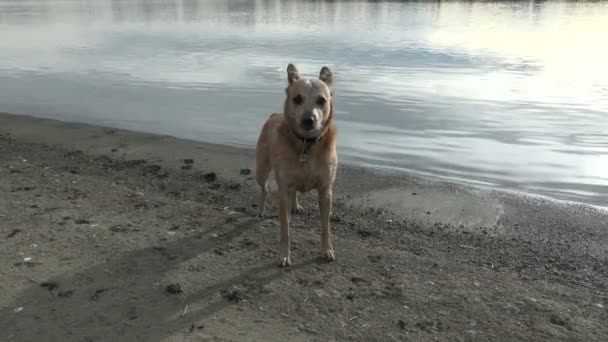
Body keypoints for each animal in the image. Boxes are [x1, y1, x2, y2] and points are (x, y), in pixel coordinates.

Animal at [253, 65, 338, 268]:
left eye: (322, 100)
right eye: (297, 98)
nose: (309, 119)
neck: (307, 144)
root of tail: (274, 116)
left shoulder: (326, 192)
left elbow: (325, 227)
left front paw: (327, 250)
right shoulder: (283, 191)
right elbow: (285, 230)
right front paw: (284, 255)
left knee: (295, 191)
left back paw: (296, 205)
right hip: (262, 169)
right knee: (264, 188)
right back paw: (260, 209)